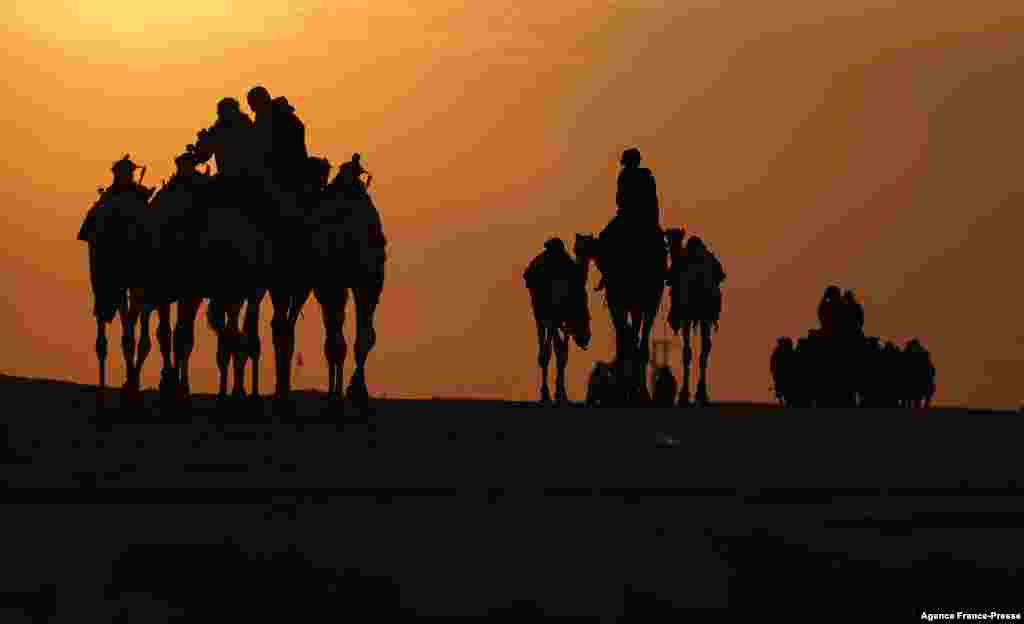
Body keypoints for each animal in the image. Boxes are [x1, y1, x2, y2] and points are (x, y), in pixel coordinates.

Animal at [520, 235, 593, 401]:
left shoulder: (566, 321)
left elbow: (564, 354)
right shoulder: (555, 319)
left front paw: (562, 393)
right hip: (541, 314)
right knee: (544, 350)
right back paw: (545, 393)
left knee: (553, 350)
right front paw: (553, 393)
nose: (586, 338)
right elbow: (555, 351)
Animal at [667, 227, 724, 403]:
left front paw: (684, 395)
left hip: (689, 314)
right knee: (706, 348)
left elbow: (686, 350)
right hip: (706, 315)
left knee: (687, 351)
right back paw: (702, 393)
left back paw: (685, 394)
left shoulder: (686, 315)